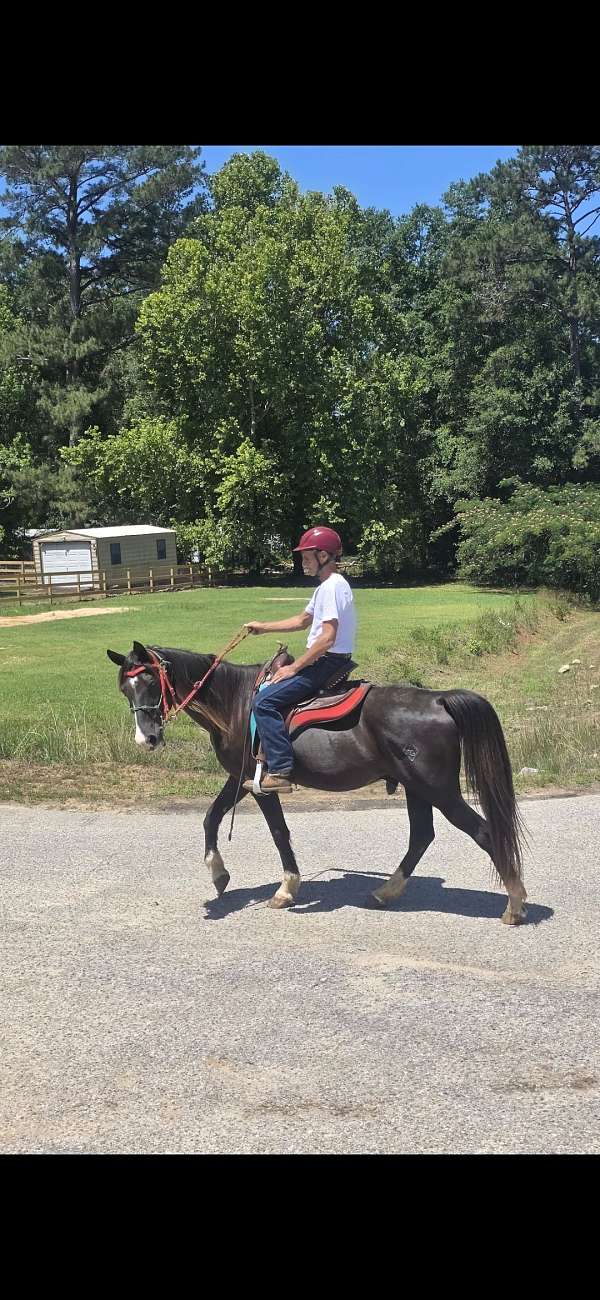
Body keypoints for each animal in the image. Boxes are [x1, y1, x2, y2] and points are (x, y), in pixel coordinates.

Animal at [106, 640, 527, 924]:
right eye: (125, 688)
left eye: (151, 682)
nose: (146, 739)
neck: (237, 702)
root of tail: (439, 699)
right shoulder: (240, 777)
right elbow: (211, 818)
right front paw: (219, 874)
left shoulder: (262, 784)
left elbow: (279, 832)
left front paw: (286, 889)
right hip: (417, 788)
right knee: (422, 835)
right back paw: (385, 891)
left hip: (437, 789)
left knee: (484, 832)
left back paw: (515, 903)